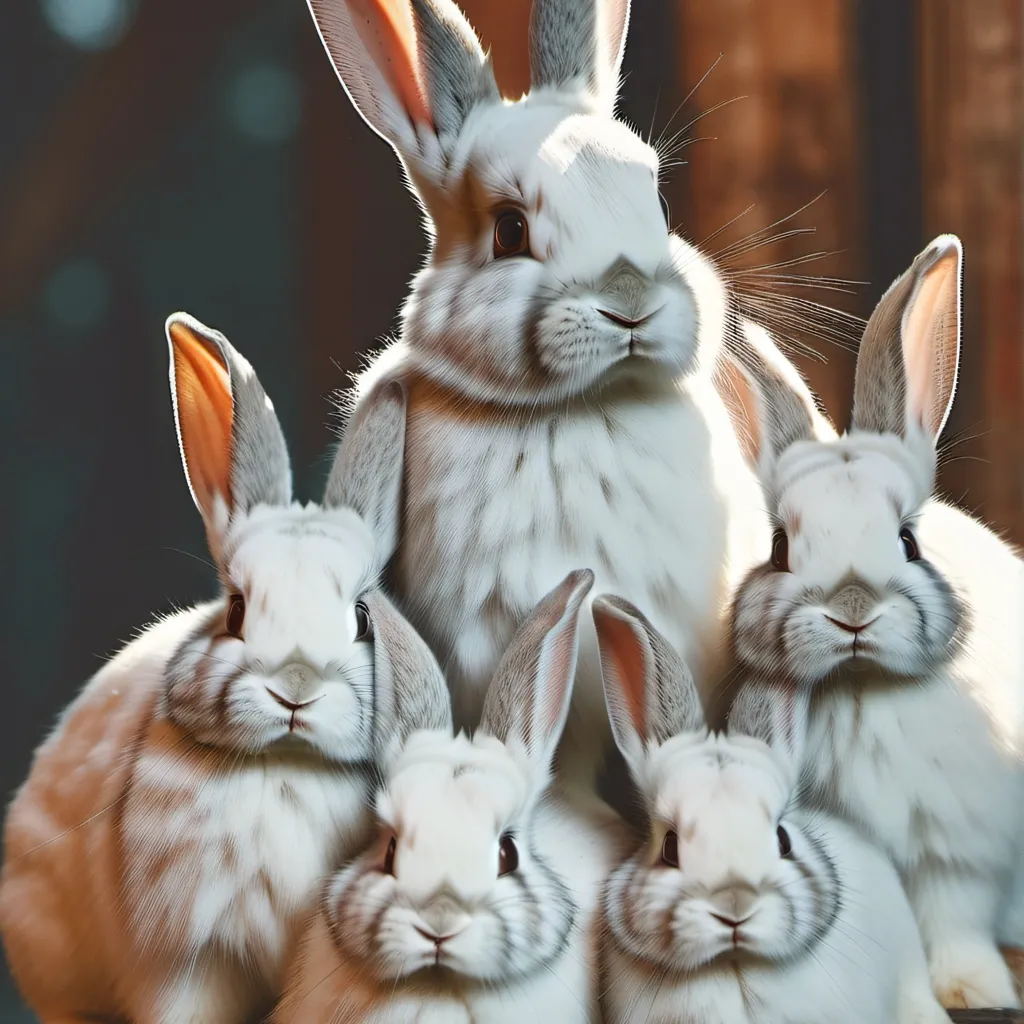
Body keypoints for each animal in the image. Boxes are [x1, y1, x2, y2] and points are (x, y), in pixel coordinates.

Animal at [720, 233, 1024, 1009]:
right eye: (780, 548)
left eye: (909, 541)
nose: (851, 612)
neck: (865, 687)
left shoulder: (958, 849)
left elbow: (954, 921)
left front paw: (975, 991)